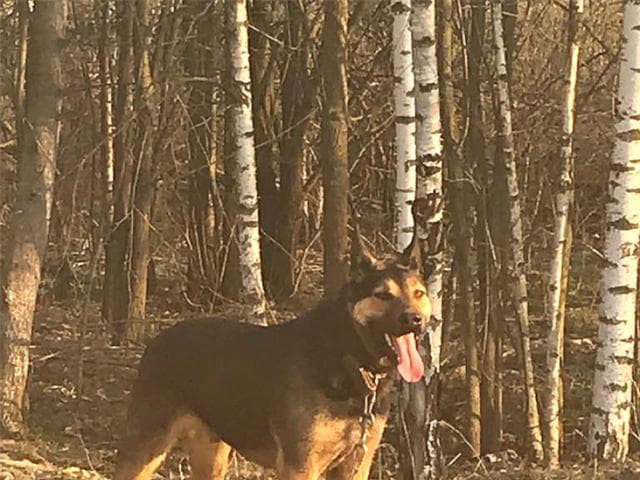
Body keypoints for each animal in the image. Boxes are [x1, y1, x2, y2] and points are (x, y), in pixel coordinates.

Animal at [115, 230, 432, 480]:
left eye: (418, 293)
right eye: (382, 295)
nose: (414, 320)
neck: (348, 358)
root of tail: (158, 340)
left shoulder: (357, 462)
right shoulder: (300, 465)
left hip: (211, 453)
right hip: (145, 448)